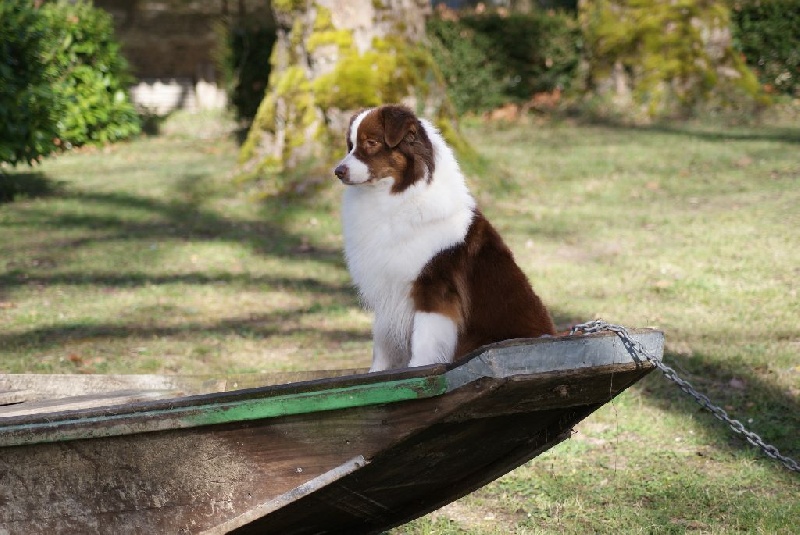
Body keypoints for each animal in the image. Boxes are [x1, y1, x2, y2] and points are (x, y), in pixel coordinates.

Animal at [334, 104, 552, 372]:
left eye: (371, 142)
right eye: (350, 145)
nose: (338, 172)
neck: (395, 197)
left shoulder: (434, 289)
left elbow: (425, 342)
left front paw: (418, 370)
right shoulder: (386, 291)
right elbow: (382, 345)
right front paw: (376, 374)